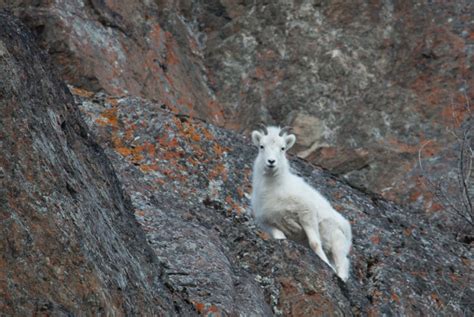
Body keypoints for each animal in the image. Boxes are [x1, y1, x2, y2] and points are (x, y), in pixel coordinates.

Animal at [252, 124, 352, 280]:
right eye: (262, 146)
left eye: (283, 148)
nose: (271, 162)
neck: (275, 190)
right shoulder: (269, 224)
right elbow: (281, 238)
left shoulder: (307, 214)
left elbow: (315, 244)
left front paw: (326, 266)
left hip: (337, 242)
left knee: (342, 264)